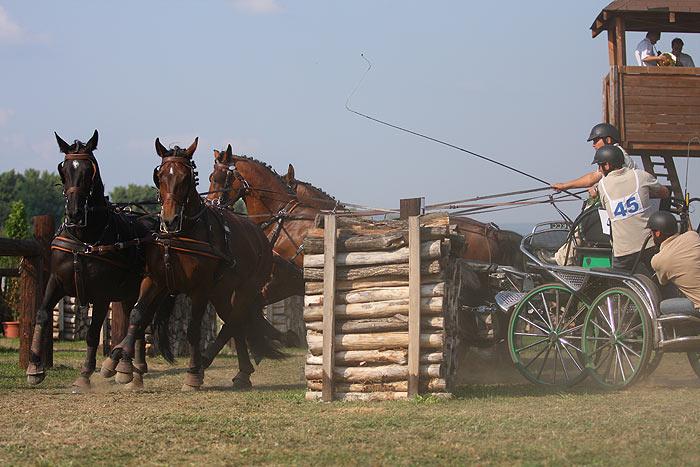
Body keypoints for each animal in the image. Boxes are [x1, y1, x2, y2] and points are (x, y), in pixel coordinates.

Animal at [25, 130, 171, 390]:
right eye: (64, 169)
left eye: (89, 170)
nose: (74, 213)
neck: (84, 239)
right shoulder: (56, 280)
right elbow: (41, 314)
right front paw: (34, 368)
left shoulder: (101, 294)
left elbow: (93, 333)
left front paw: (84, 375)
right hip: (129, 293)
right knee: (135, 317)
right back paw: (129, 368)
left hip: (154, 289)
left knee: (141, 319)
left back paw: (128, 368)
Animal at [104, 138, 283, 391]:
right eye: (160, 176)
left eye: (186, 177)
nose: (169, 220)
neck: (181, 234)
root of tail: (259, 234)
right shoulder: (154, 280)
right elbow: (138, 315)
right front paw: (116, 362)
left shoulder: (200, 289)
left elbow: (193, 330)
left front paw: (192, 375)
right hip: (221, 292)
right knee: (233, 322)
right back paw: (242, 373)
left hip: (245, 289)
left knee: (234, 321)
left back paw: (215, 366)